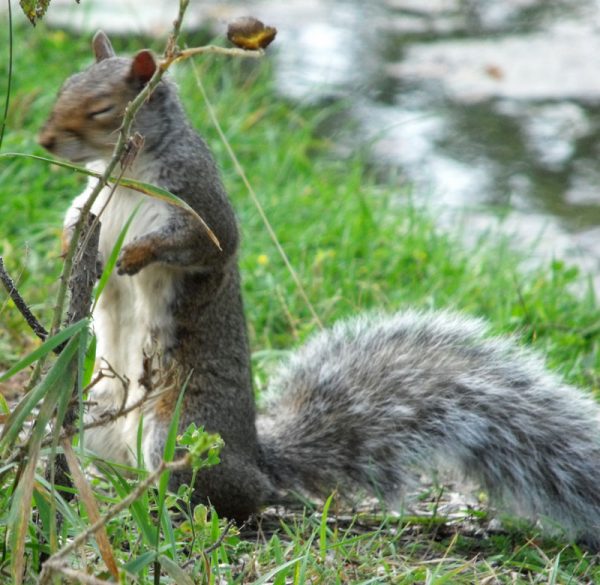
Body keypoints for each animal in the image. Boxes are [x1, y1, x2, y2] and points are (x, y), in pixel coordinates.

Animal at [38, 30, 600, 544]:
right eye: (63, 86)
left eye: (102, 109)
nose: (44, 142)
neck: (128, 172)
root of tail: (259, 469)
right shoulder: (94, 201)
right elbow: (73, 221)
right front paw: (66, 248)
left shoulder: (199, 203)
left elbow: (198, 245)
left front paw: (135, 255)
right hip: (101, 417)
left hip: (180, 433)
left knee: (216, 502)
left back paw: (167, 515)